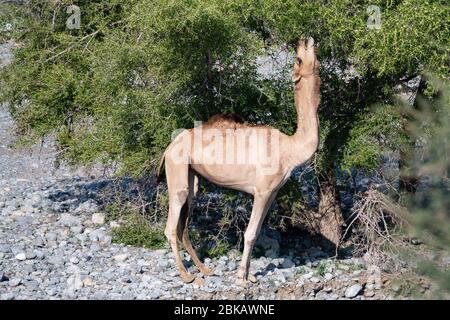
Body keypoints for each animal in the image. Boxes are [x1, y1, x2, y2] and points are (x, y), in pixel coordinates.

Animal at [157, 37, 320, 282]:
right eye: (299, 59)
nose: (303, 40)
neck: (289, 149)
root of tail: (169, 146)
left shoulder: (272, 192)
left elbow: (258, 230)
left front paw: (250, 275)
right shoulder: (262, 190)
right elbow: (250, 233)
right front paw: (242, 276)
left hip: (191, 174)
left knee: (184, 221)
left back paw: (205, 269)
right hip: (176, 168)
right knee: (171, 223)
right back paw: (186, 275)